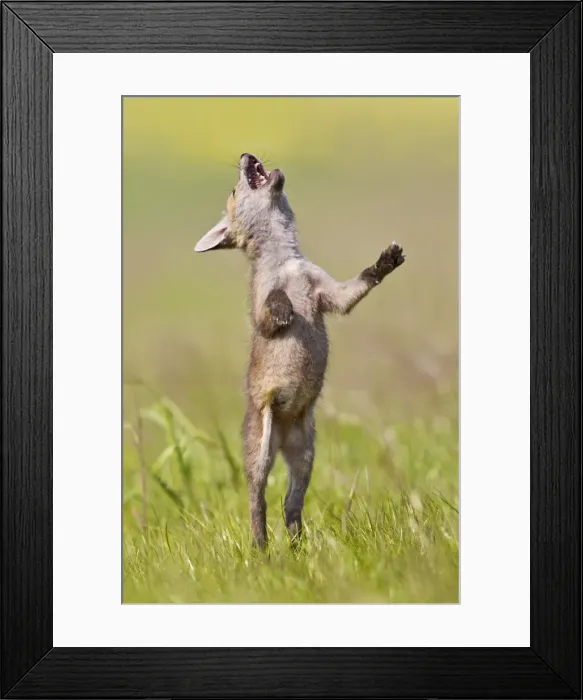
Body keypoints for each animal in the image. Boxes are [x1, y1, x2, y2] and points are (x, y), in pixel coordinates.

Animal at [195, 153, 405, 549]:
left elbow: (360, 283)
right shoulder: (259, 312)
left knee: (290, 505)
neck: (287, 265)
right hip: (260, 452)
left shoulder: (332, 294)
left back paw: (297, 548)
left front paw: (386, 261)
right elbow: (270, 310)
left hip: (305, 457)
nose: (246, 155)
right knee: (257, 502)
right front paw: (284, 307)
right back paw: (262, 550)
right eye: (234, 190)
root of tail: (283, 434)